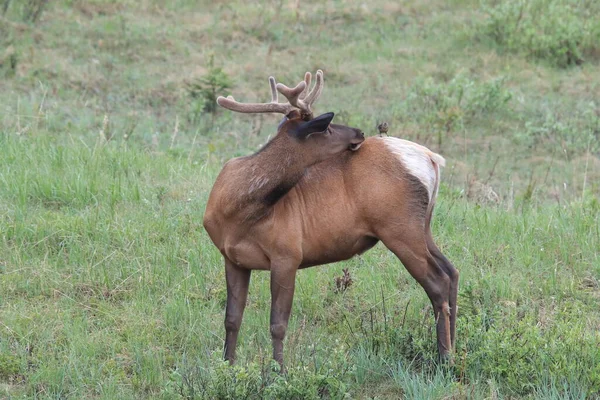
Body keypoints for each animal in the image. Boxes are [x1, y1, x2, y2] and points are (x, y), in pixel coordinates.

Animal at [203, 70, 460, 370]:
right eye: (325, 128)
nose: (360, 132)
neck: (238, 213)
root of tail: (432, 159)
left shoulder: (288, 253)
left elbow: (278, 324)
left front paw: (279, 372)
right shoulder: (233, 258)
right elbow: (232, 318)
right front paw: (227, 366)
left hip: (399, 228)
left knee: (438, 282)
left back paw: (445, 358)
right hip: (422, 226)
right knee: (451, 271)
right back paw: (455, 347)